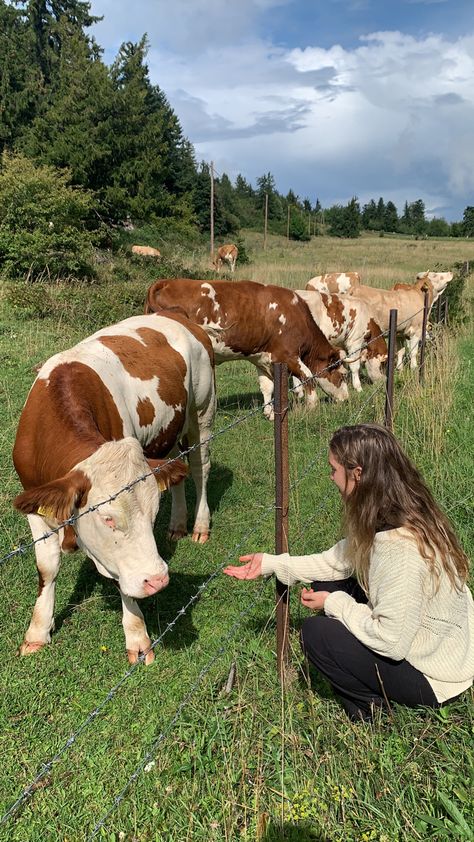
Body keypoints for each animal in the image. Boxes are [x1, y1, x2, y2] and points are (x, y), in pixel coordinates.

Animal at [12, 314, 217, 664]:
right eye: (107, 518)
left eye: (151, 514)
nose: (158, 579)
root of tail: (177, 317)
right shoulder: (35, 505)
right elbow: (47, 567)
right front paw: (37, 632)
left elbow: (124, 581)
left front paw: (137, 636)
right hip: (167, 437)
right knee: (177, 470)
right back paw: (177, 525)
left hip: (202, 414)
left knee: (200, 469)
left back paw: (199, 526)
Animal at [144, 278, 348, 418]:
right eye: (342, 375)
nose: (346, 400)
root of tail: (166, 282)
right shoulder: (288, 355)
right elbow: (308, 377)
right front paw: (312, 407)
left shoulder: (264, 358)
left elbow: (267, 387)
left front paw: (269, 413)